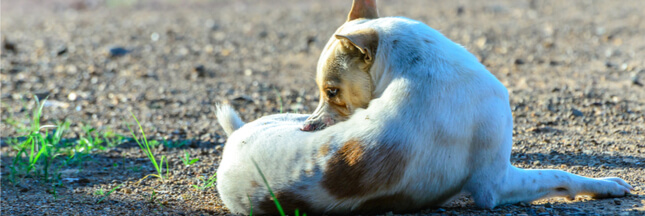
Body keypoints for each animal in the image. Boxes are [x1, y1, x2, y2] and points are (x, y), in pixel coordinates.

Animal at [214, 0, 632, 214]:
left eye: (331, 91)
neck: (413, 65)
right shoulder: (494, 184)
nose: (307, 127)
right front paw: (605, 186)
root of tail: (234, 140)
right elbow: (560, 174)